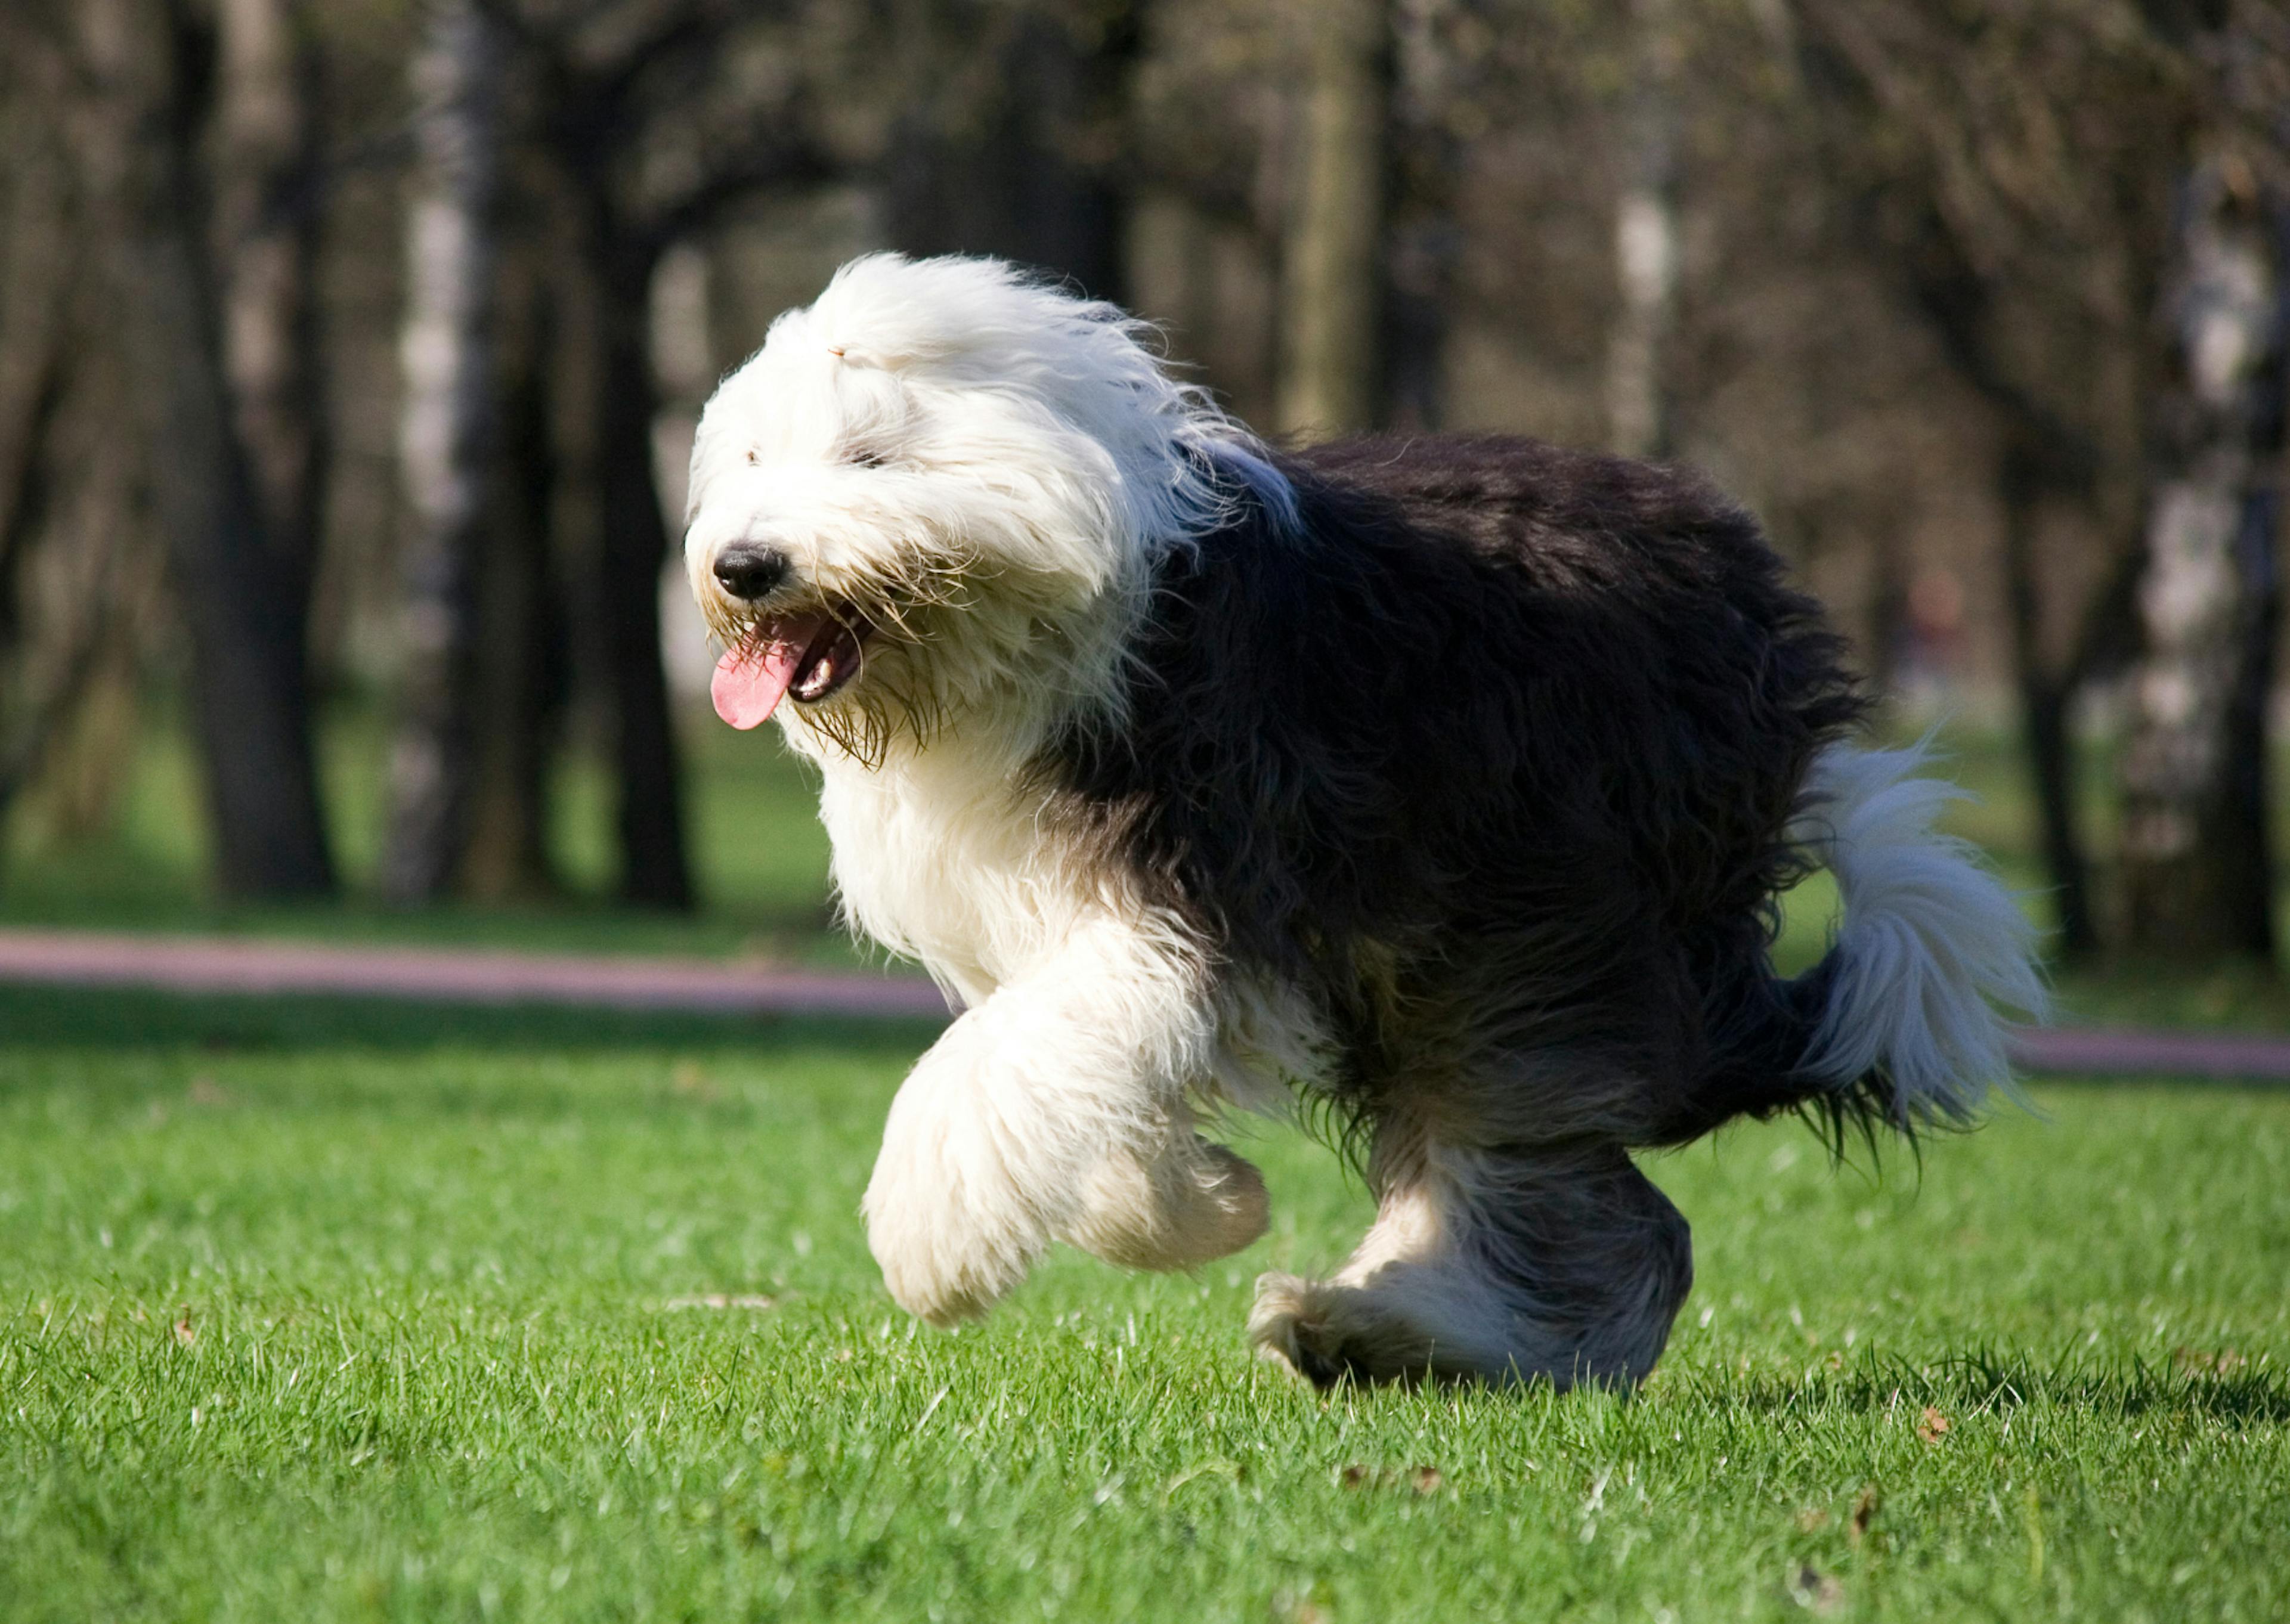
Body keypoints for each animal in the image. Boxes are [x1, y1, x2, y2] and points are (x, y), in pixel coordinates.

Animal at [673, 249, 2043, 1383]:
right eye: (751, 464)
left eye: (872, 460)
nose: (742, 566)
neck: (1061, 626)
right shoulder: (1061, 924)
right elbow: (1065, 1073)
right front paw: (1199, 1203)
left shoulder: (1181, 895)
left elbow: (1001, 1064)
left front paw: (936, 1247)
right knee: (1592, 1210)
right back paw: (1377, 1331)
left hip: (1547, 915)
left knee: (1571, 1194)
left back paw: (1384, 1328)